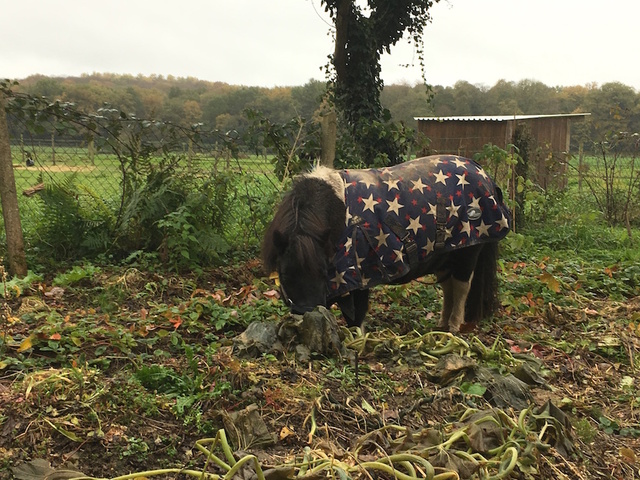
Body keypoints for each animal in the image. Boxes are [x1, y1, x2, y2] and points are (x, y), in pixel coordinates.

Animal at [262, 155, 511, 333]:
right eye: (284, 274)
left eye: (323, 271)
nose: (305, 314)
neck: (339, 212)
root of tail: (485, 177)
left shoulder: (361, 274)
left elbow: (357, 314)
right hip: (447, 253)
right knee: (448, 287)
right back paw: (441, 325)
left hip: (467, 251)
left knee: (460, 288)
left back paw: (453, 327)